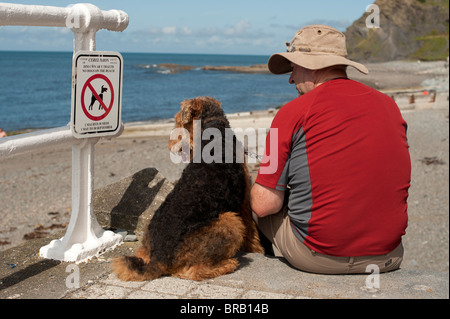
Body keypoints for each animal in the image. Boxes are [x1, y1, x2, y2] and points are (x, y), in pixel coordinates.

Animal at [112, 96, 264, 282]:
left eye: (178, 121)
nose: (170, 144)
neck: (214, 130)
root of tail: (159, 258)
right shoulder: (244, 202)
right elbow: (251, 231)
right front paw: (258, 250)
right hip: (230, 220)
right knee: (192, 271)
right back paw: (228, 264)